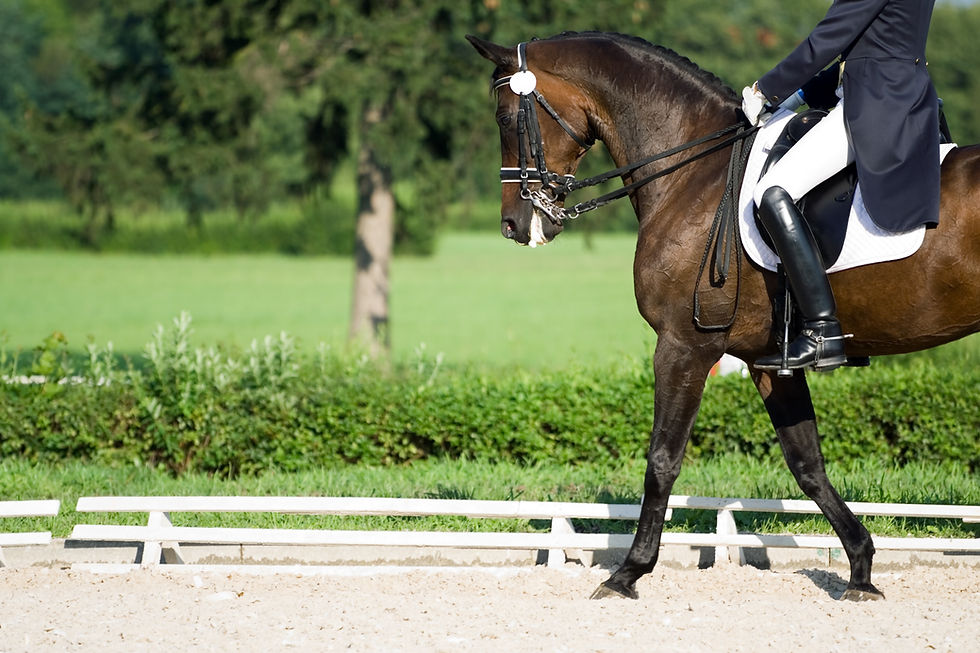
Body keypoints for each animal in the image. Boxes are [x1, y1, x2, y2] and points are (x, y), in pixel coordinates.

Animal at [467, 31, 980, 602]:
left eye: (505, 118)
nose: (515, 224)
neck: (694, 171)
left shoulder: (684, 346)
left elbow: (662, 459)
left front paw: (628, 573)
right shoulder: (769, 361)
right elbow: (807, 463)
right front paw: (861, 569)